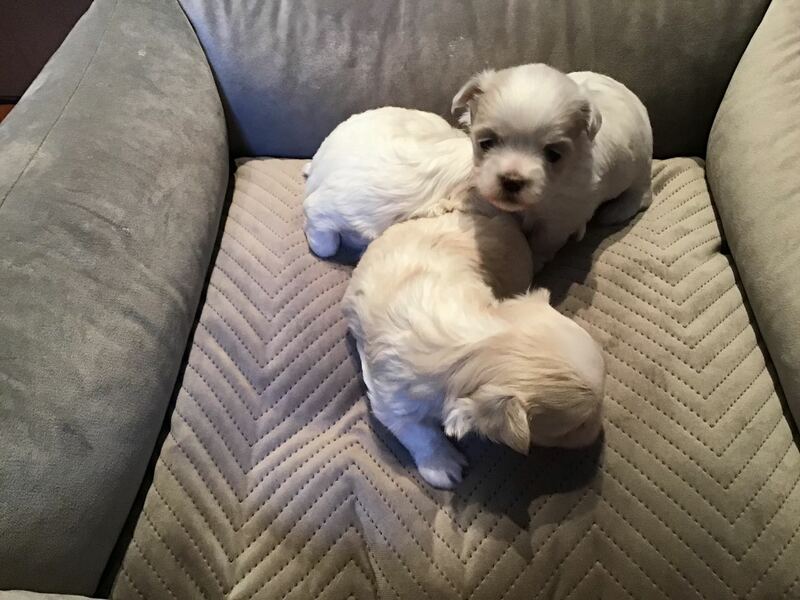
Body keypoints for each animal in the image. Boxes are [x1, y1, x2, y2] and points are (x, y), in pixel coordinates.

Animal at [342, 211, 605, 489]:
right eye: (576, 427)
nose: (599, 433)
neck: (474, 344)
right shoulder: (390, 396)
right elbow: (418, 432)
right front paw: (443, 465)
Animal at [452, 63, 653, 269]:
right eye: (486, 144)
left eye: (553, 155)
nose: (512, 181)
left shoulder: (560, 218)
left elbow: (543, 242)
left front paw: (534, 264)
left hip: (640, 167)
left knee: (641, 195)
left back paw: (616, 211)